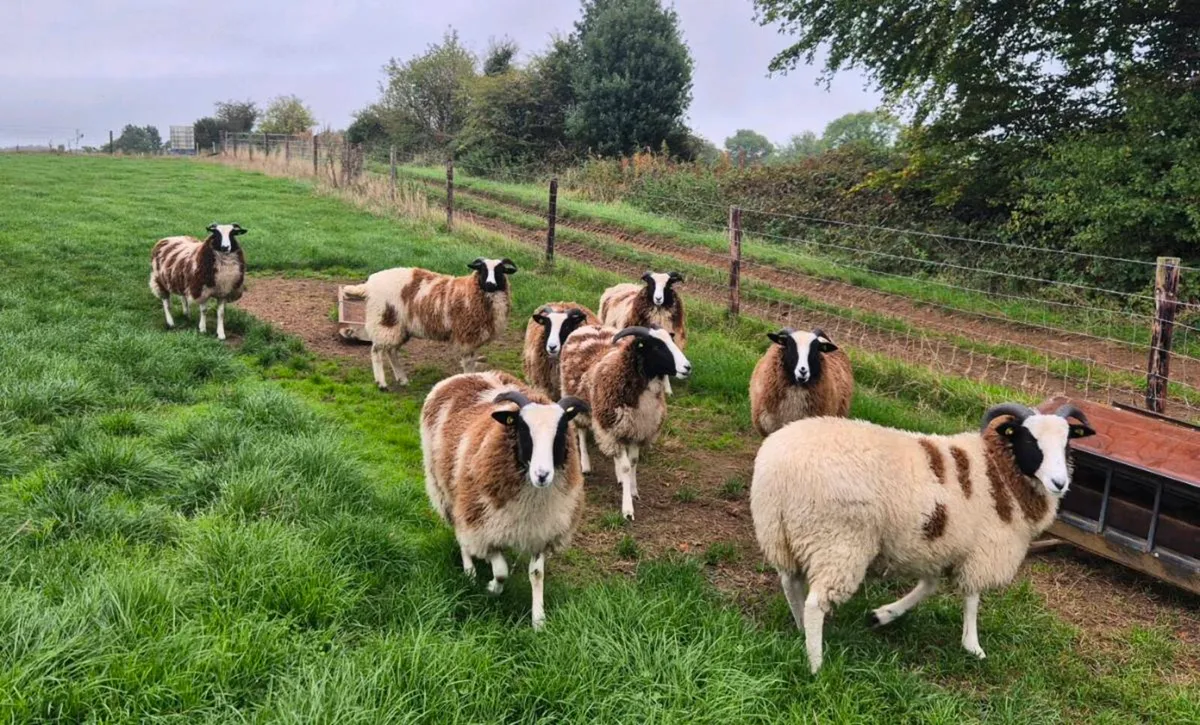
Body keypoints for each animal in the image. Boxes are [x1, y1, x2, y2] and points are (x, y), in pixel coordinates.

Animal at [342, 258, 517, 391]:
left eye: (500, 270)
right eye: (482, 270)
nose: (490, 284)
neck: (470, 291)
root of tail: (369, 285)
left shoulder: (472, 338)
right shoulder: (466, 336)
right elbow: (468, 364)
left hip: (399, 327)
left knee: (391, 351)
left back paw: (402, 379)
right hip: (384, 320)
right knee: (377, 351)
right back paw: (382, 383)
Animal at [420, 369, 589, 629]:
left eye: (560, 433)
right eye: (522, 430)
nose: (542, 475)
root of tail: (466, 374)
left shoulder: (541, 531)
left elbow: (536, 574)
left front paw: (539, 619)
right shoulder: (484, 526)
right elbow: (500, 571)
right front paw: (492, 588)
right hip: (449, 494)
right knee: (461, 536)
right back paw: (469, 571)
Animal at [559, 324, 692, 521]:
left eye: (671, 340)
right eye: (657, 346)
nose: (687, 367)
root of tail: (590, 326)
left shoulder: (637, 430)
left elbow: (633, 462)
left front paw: (633, 489)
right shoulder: (612, 429)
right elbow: (626, 467)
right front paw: (628, 509)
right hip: (578, 403)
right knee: (582, 432)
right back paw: (586, 465)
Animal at [749, 402, 1095, 673]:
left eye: (1067, 444)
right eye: (1030, 440)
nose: (1060, 483)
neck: (998, 470)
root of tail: (778, 470)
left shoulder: (937, 546)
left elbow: (928, 586)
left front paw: (882, 615)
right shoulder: (983, 548)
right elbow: (972, 598)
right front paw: (973, 646)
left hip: (781, 534)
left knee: (790, 583)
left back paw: (799, 630)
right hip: (838, 541)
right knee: (815, 602)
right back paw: (816, 664)